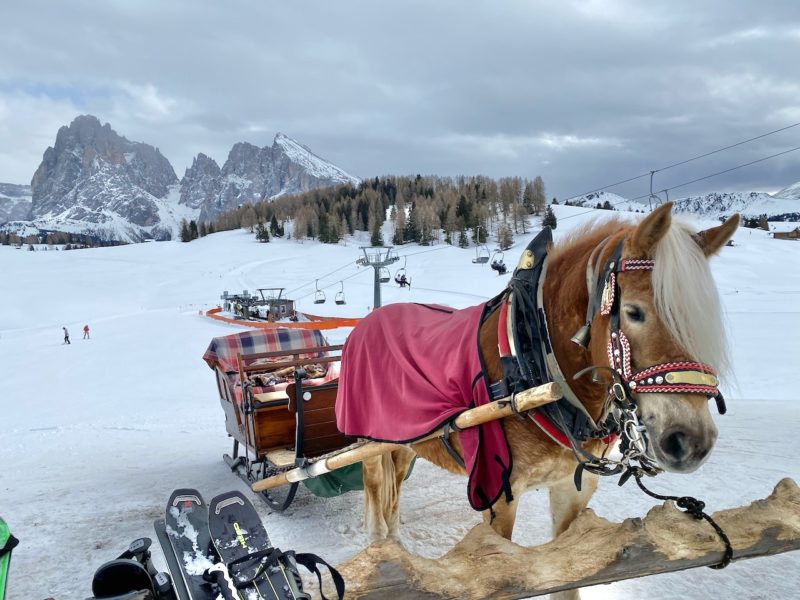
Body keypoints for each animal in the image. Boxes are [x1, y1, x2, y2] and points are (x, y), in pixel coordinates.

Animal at [334, 203, 740, 600]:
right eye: (634, 312)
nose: (692, 441)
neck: (533, 356)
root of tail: (365, 325)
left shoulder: (572, 490)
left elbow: (569, 579)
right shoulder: (497, 494)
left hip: (405, 443)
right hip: (369, 446)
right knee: (376, 501)